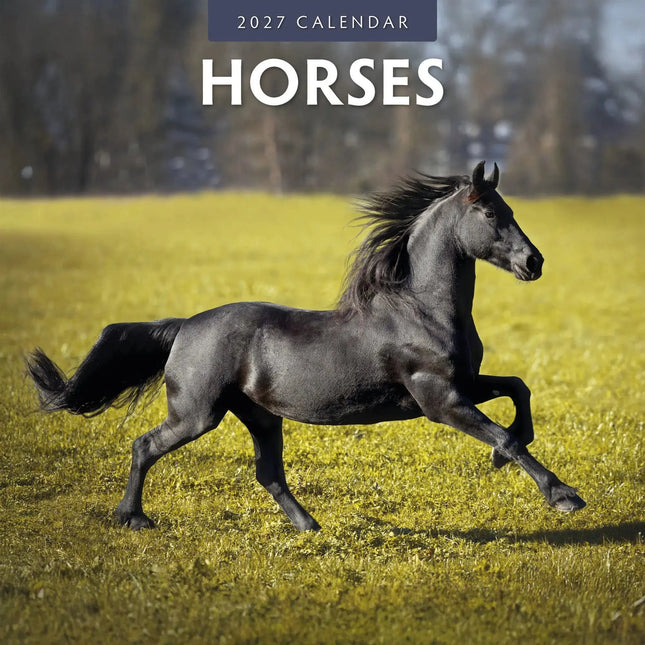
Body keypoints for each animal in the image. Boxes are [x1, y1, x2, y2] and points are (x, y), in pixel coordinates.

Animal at [26, 161, 586, 531]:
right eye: (490, 213)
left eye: (508, 208)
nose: (534, 262)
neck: (421, 309)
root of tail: (184, 326)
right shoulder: (439, 399)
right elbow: (506, 437)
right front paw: (563, 496)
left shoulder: (463, 385)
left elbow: (519, 389)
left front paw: (507, 459)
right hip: (197, 413)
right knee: (146, 445)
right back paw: (133, 518)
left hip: (258, 415)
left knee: (269, 472)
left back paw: (310, 527)